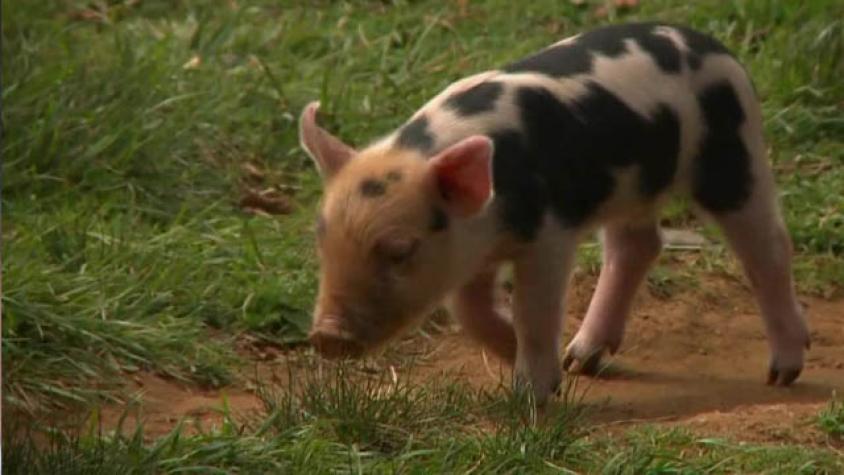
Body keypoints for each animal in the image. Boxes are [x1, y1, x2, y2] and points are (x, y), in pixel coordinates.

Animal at [298, 20, 812, 404]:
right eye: (322, 238)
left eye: (400, 250)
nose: (326, 335)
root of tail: (718, 49)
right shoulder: (474, 249)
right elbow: (469, 310)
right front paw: (525, 357)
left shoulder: (549, 234)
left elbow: (534, 308)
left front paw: (533, 393)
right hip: (633, 189)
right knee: (637, 245)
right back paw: (581, 360)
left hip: (732, 157)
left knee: (768, 246)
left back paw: (783, 372)